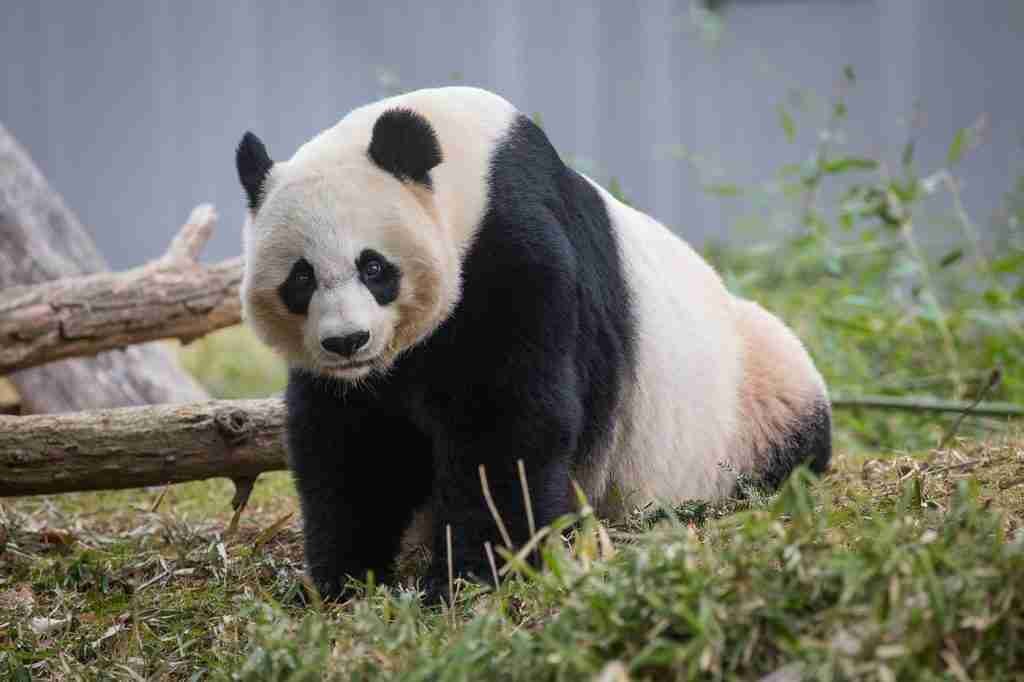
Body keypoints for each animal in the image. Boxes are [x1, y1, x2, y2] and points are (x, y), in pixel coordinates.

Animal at [234, 86, 831, 602]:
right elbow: (356, 445)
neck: (468, 169)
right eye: (301, 279)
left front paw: (469, 576)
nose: (347, 342)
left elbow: (506, 422)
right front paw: (344, 580)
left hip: (748, 399)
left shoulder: (512, 249)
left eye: (374, 267)